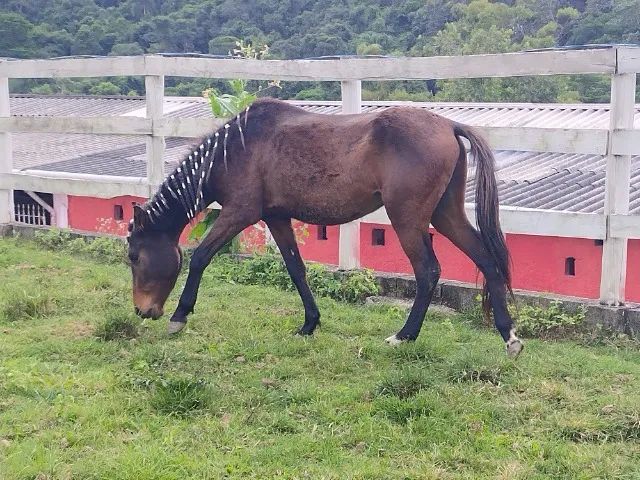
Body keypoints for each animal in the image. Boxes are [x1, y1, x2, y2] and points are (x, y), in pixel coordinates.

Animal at [127, 97, 524, 356]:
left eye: (133, 256)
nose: (142, 310)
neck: (233, 148)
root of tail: (449, 125)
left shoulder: (239, 213)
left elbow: (200, 257)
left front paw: (179, 315)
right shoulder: (276, 217)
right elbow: (296, 269)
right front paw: (310, 323)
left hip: (408, 218)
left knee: (428, 271)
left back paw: (404, 336)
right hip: (446, 214)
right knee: (486, 260)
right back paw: (508, 336)